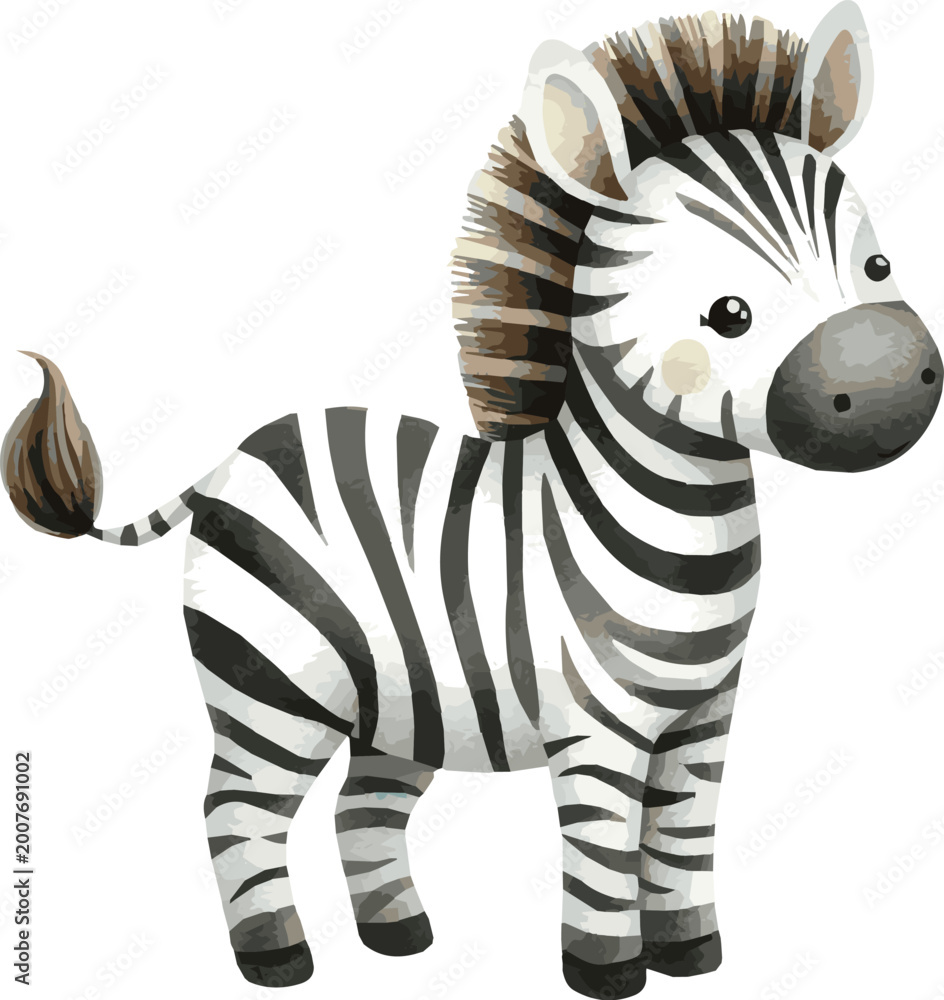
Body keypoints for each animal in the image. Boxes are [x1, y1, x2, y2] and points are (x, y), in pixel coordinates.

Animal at [4, 4, 941, 998]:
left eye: (879, 265)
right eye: (728, 313)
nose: (895, 387)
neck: (677, 534)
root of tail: (231, 459)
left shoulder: (704, 720)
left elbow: (684, 845)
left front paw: (693, 956)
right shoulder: (597, 731)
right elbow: (605, 859)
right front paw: (609, 973)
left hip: (397, 700)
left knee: (361, 809)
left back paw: (399, 938)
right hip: (274, 683)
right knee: (236, 811)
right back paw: (278, 959)